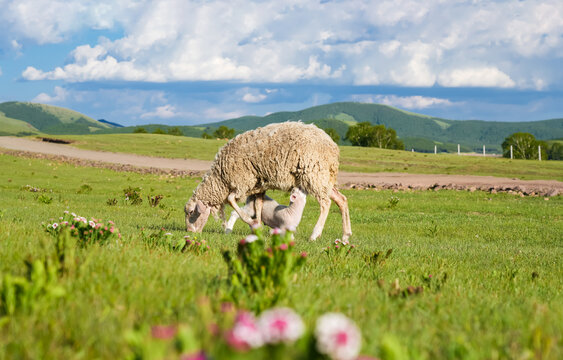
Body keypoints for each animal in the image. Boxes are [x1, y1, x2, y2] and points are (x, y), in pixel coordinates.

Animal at [185, 121, 352, 242]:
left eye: (191, 212)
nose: (189, 233)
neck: (221, 179)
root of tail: (332, 146)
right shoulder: (258, 185)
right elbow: (258, 205)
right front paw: (257, 227)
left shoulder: (242, 181)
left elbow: (232, 200)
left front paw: (251, 222)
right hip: (324, 177)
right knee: (341, 200)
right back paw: (345, 235)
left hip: (314, 174)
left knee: (326, 203)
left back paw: (315, 234)